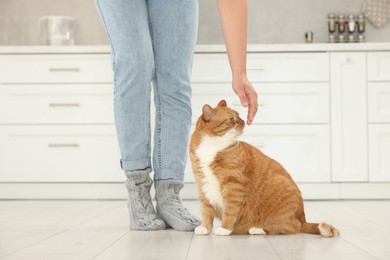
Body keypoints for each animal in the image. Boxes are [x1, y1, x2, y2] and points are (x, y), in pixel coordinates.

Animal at [190, 100, 340, 238]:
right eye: (231, 119)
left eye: (239, 116)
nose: (243, 121)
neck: (211, 146)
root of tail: (302, 218)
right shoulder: (202, 185)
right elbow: (206, 211)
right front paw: (205, 228)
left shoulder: (234, 186)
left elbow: (230, 211)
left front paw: (225, 228)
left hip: (281, 188)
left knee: (292, 227)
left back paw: (257, 229)